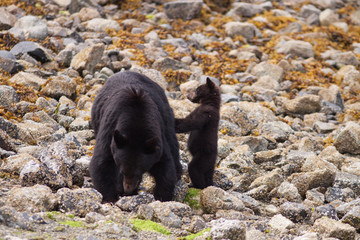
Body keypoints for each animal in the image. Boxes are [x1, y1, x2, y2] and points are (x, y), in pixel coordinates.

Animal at [89, 71, 181, 202]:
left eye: (139, 172)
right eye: (123, 171)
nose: (128, 189)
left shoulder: (156, 138)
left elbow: (165, 165)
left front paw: (161, 197)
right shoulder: (110, 130)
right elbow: (101, 162)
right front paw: (110, 198)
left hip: (167, 116)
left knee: (172, 141)